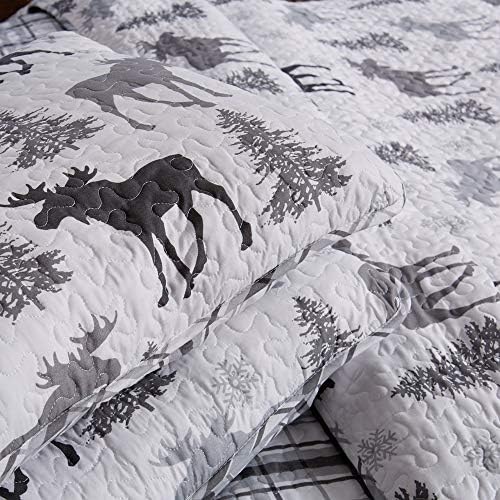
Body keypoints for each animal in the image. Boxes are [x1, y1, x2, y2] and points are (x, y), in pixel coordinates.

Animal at [0, 154, 253, 307]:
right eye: (44, 205)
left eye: (55, 205)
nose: (38, 221)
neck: (105, 207)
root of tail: (183, 158)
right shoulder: (141, 231)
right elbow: (157, 260)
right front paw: (168, 294)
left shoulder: (152, 221)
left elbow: (169, 252)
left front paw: (186, 283)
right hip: (194, 185)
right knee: (216, 197)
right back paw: (241, 238)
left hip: (185, 191)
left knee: (206, 210)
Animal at [65, 57, 232, 131]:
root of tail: (69, 92)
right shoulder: (161, 80)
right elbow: (182, 88)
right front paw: (206, 101)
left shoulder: (166, 77)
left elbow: (191, 84)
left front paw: (219, 95)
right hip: (104, 96)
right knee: (118, 110)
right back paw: (145, 125)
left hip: (121, 92)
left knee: (145, 100)